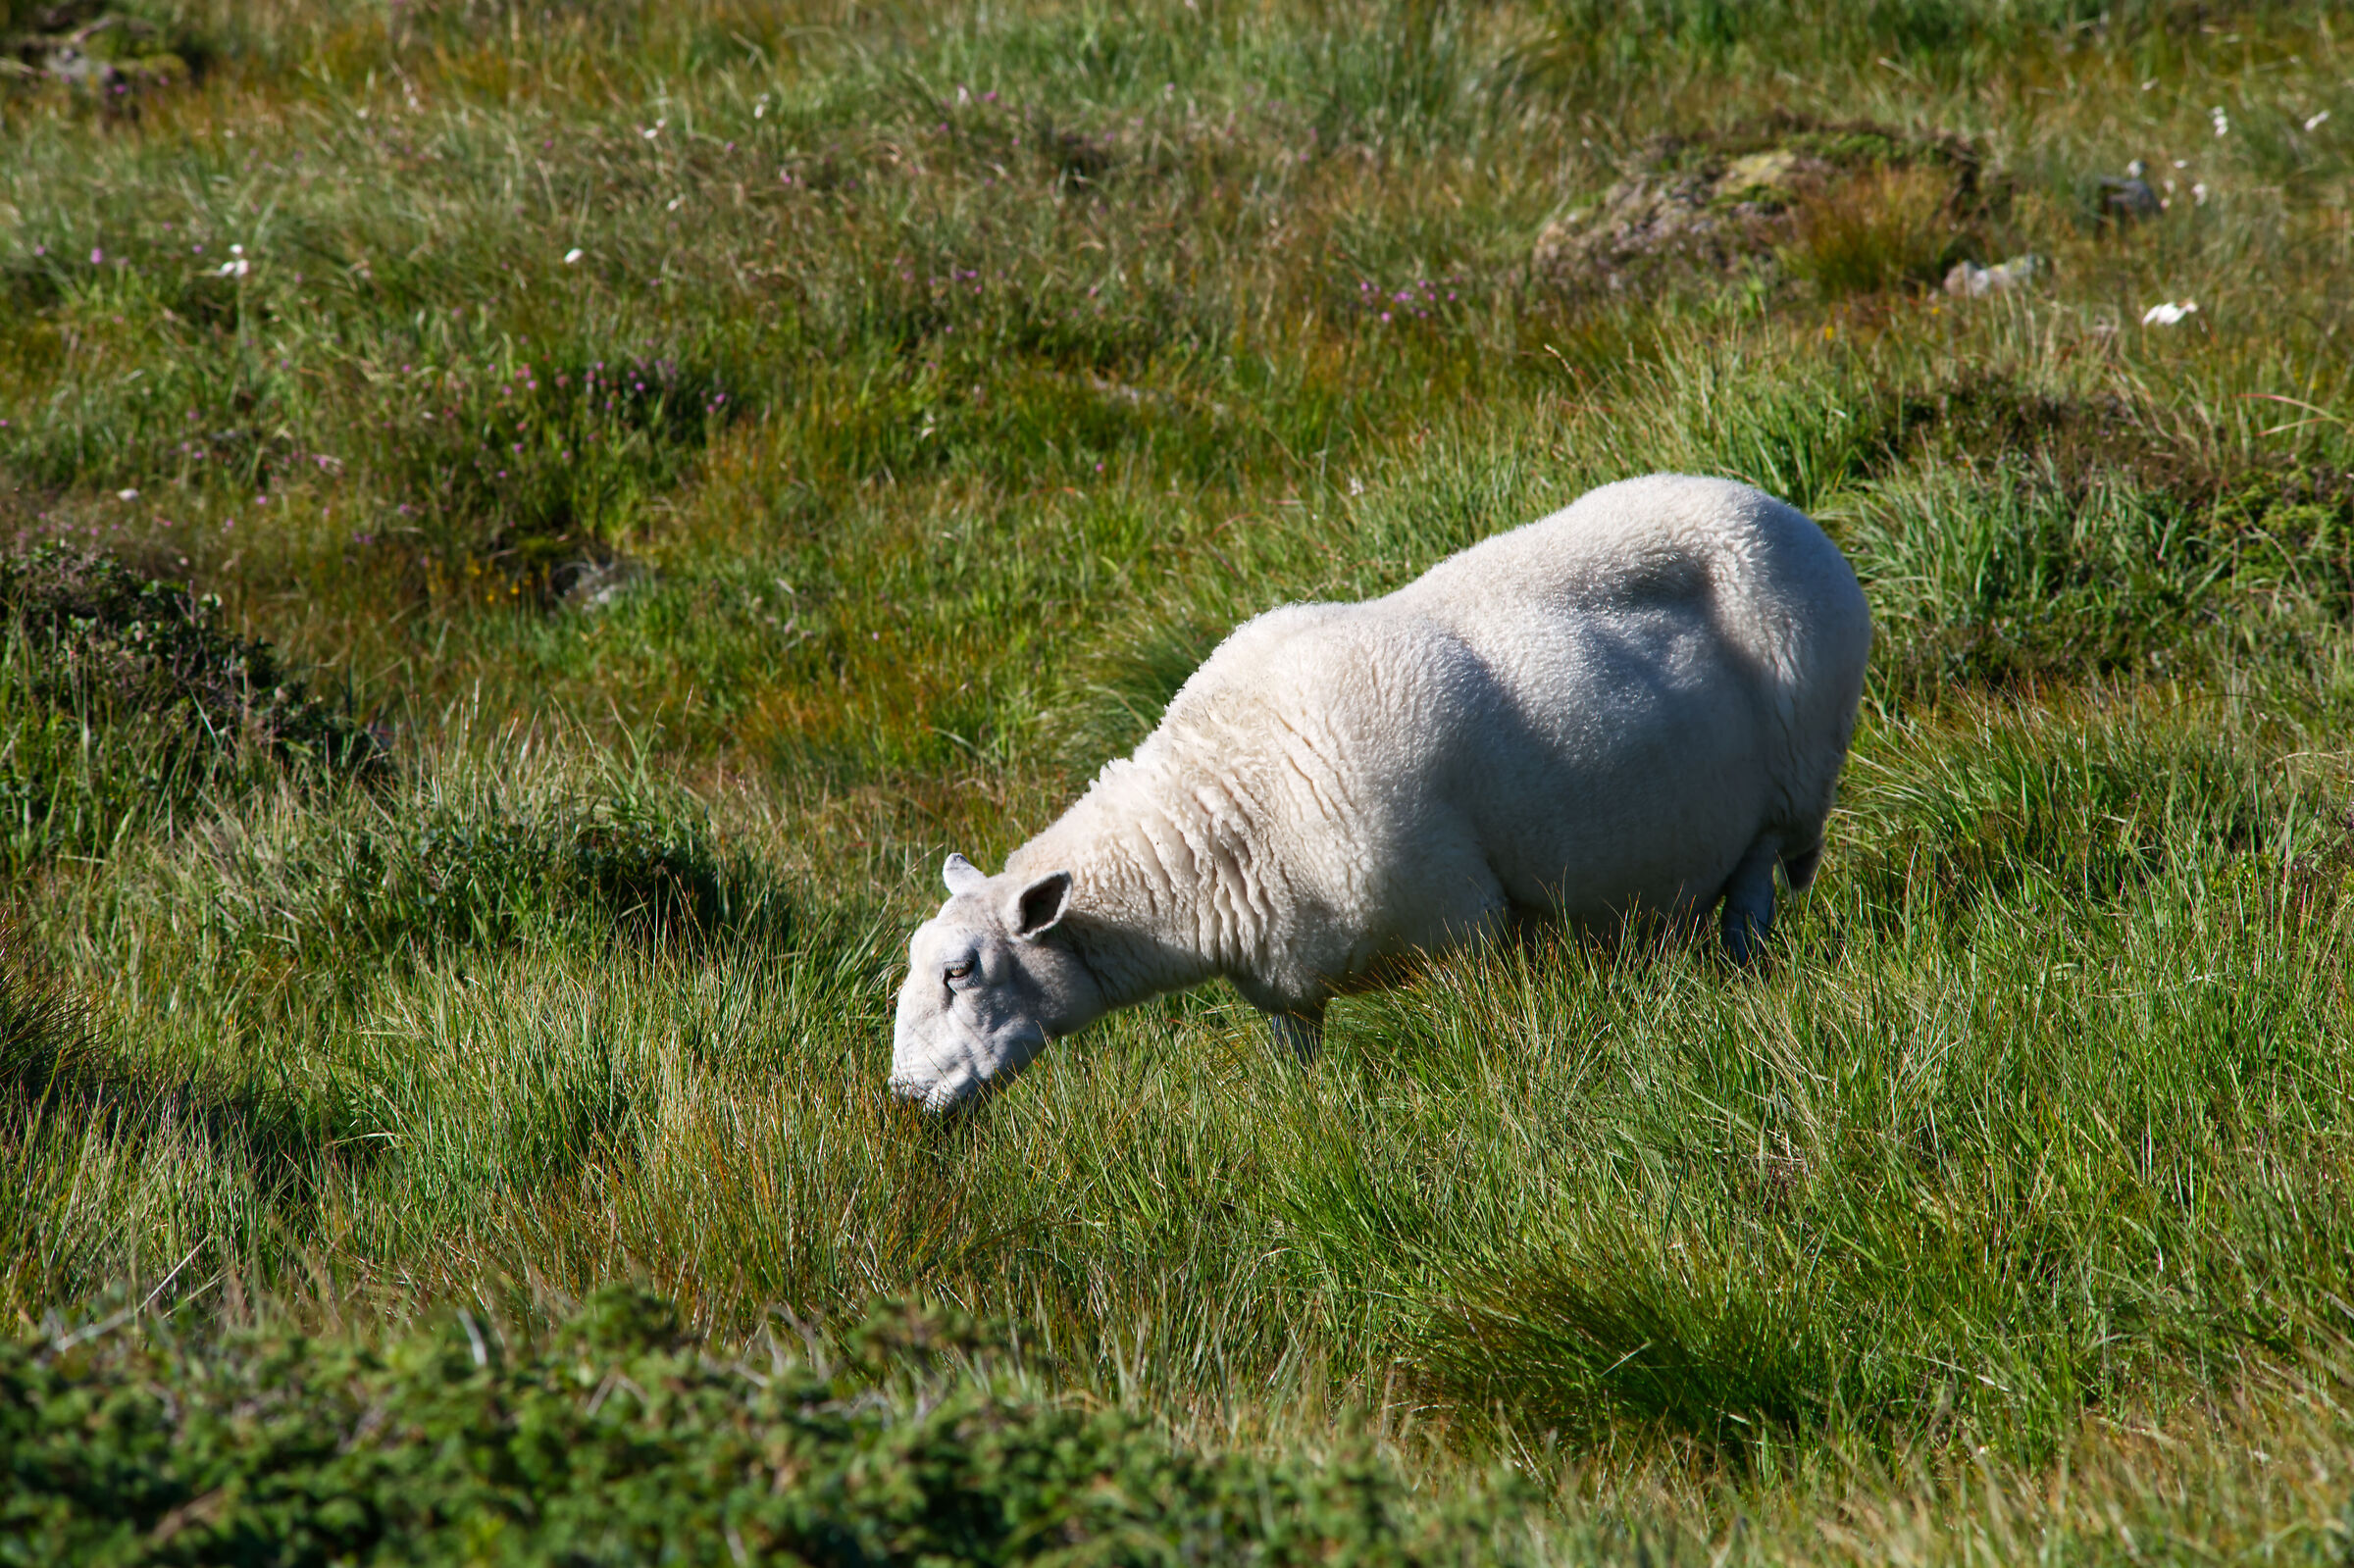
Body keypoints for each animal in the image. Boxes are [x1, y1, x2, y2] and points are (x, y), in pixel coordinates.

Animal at [889, 473, 1872, 1112]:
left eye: (960, 971)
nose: (902, 1096)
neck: (1222, 800)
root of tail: (1785, 511)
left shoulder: (1464, 923)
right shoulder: (1286, 987)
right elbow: (1298, 1075)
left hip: (1789, 786)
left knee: (1752, 898)